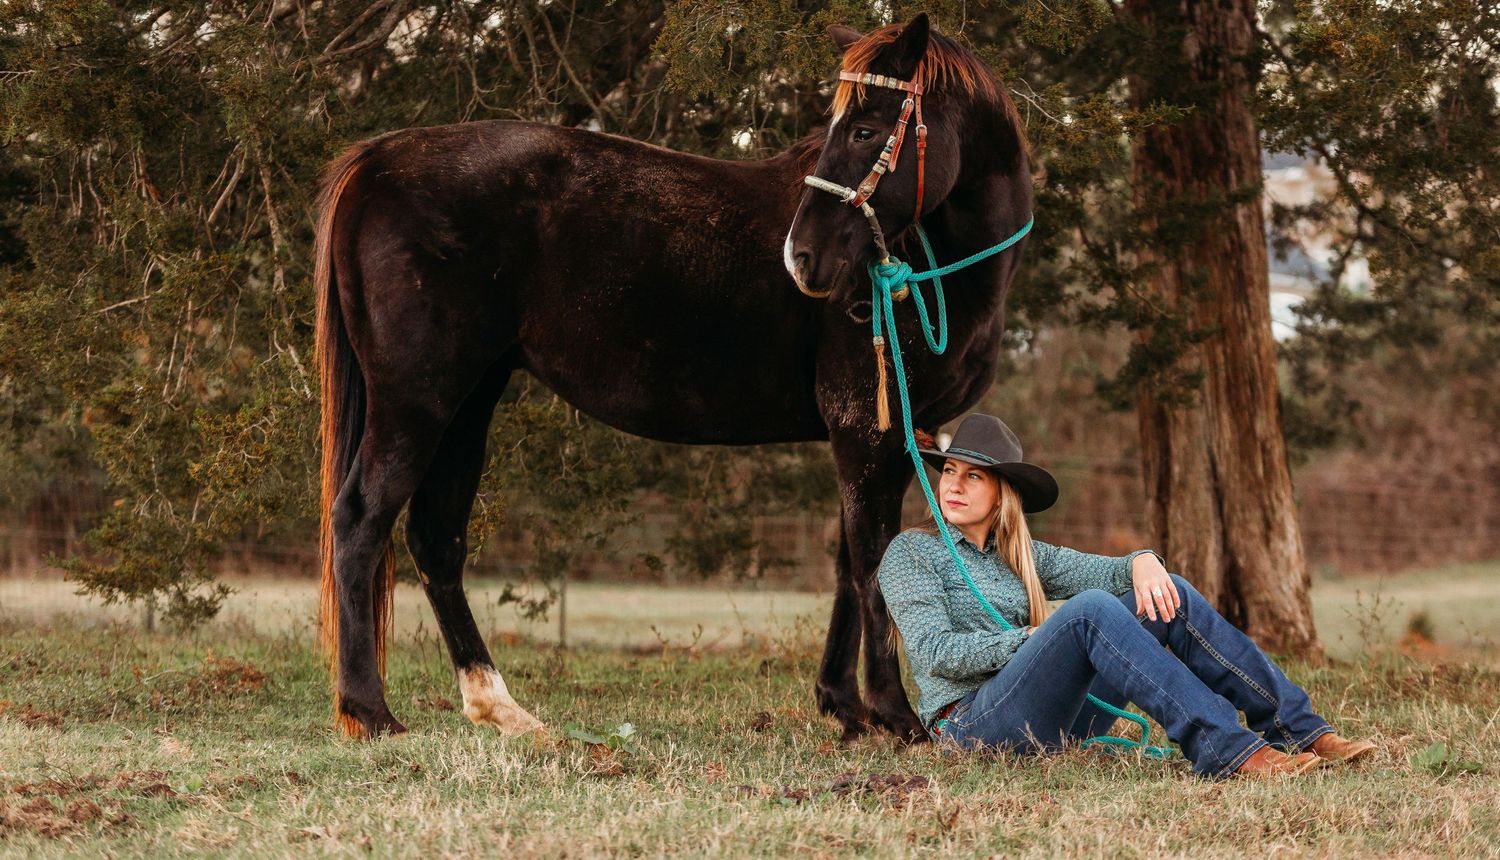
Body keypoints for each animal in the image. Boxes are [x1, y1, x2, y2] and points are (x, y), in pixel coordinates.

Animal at [313, 11, 1033, 743]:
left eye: (864, 129)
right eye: (842, 126)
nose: (802, 258)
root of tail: (376, 161)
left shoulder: (872, 439)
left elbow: (846, 565)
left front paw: (843, 705)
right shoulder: (868, 431)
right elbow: (872, 562)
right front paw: (892, 715)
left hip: (468, 401)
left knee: (436, 539)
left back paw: (497, 704)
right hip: (416, 402)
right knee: (361, 521)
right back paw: (370, 712)